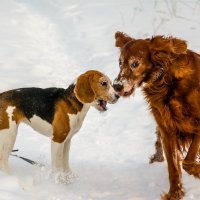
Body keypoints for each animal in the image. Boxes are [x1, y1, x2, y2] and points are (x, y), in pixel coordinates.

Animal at [113, 32, 200, 199]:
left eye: (135, 63)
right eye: (120, 63)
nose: (117, 86)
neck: (165, 81)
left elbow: (188, 161)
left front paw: (197, 171)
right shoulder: (167, 130)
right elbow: (174, 168)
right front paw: (174, 193)